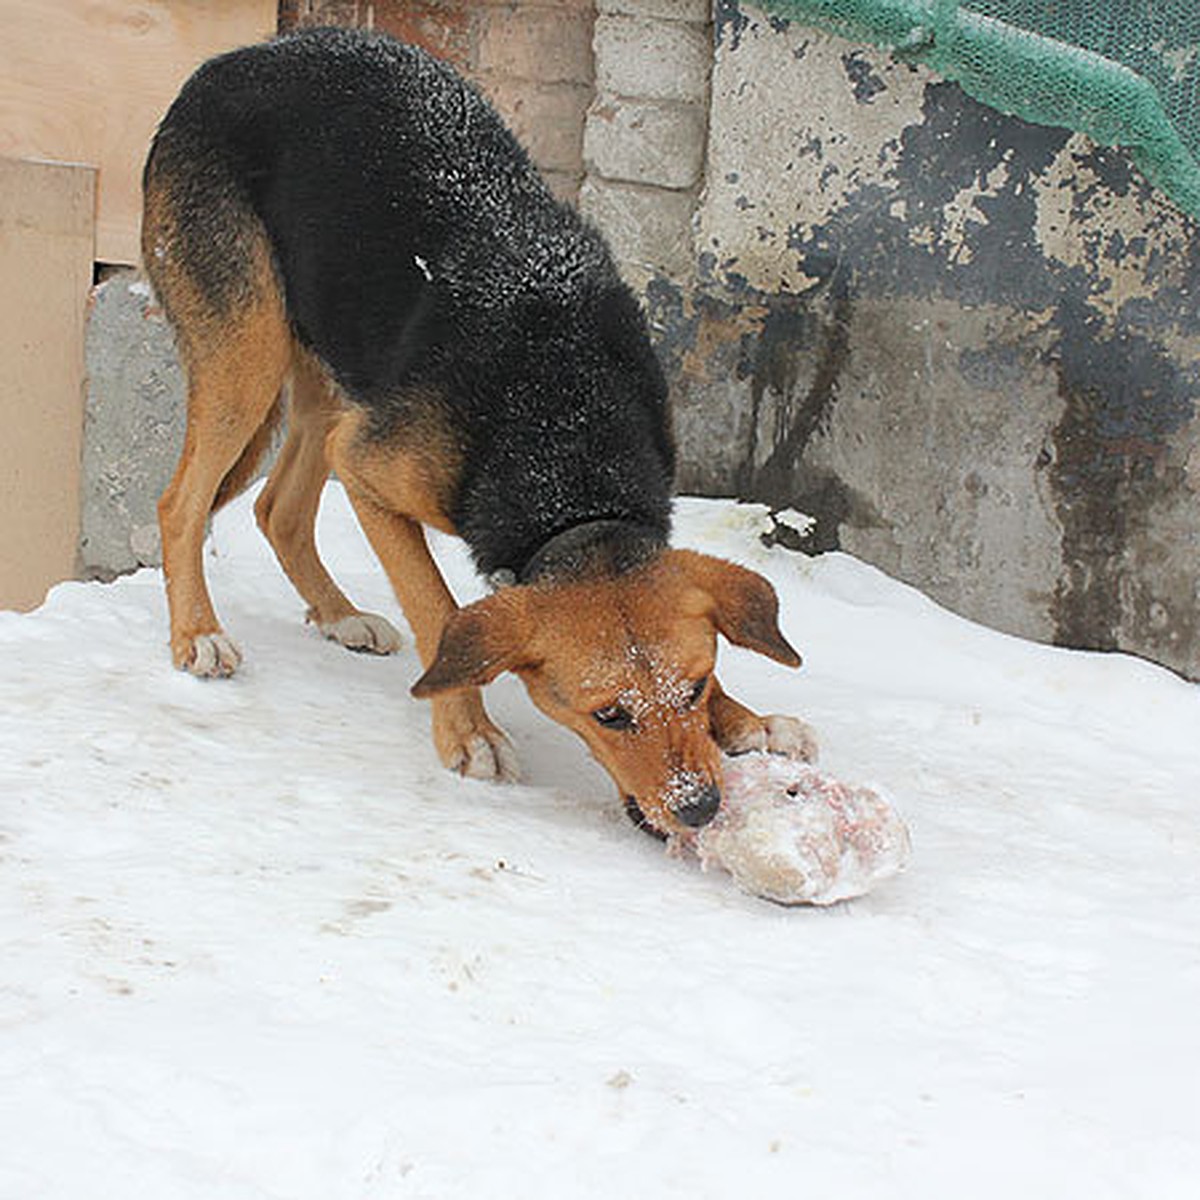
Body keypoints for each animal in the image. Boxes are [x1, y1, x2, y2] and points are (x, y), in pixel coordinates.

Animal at [138, 28, 816, 835]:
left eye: (697, 687)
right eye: (609, 715)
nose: (702, 809)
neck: (567, 441)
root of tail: (240, 56)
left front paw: (746, 721)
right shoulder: (369, 471)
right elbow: (440, 610)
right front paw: (469, 732)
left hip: (337, 365)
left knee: (279, 508)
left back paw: (340, 617)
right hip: (249, 348)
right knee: (182, 502)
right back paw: (197, 634)